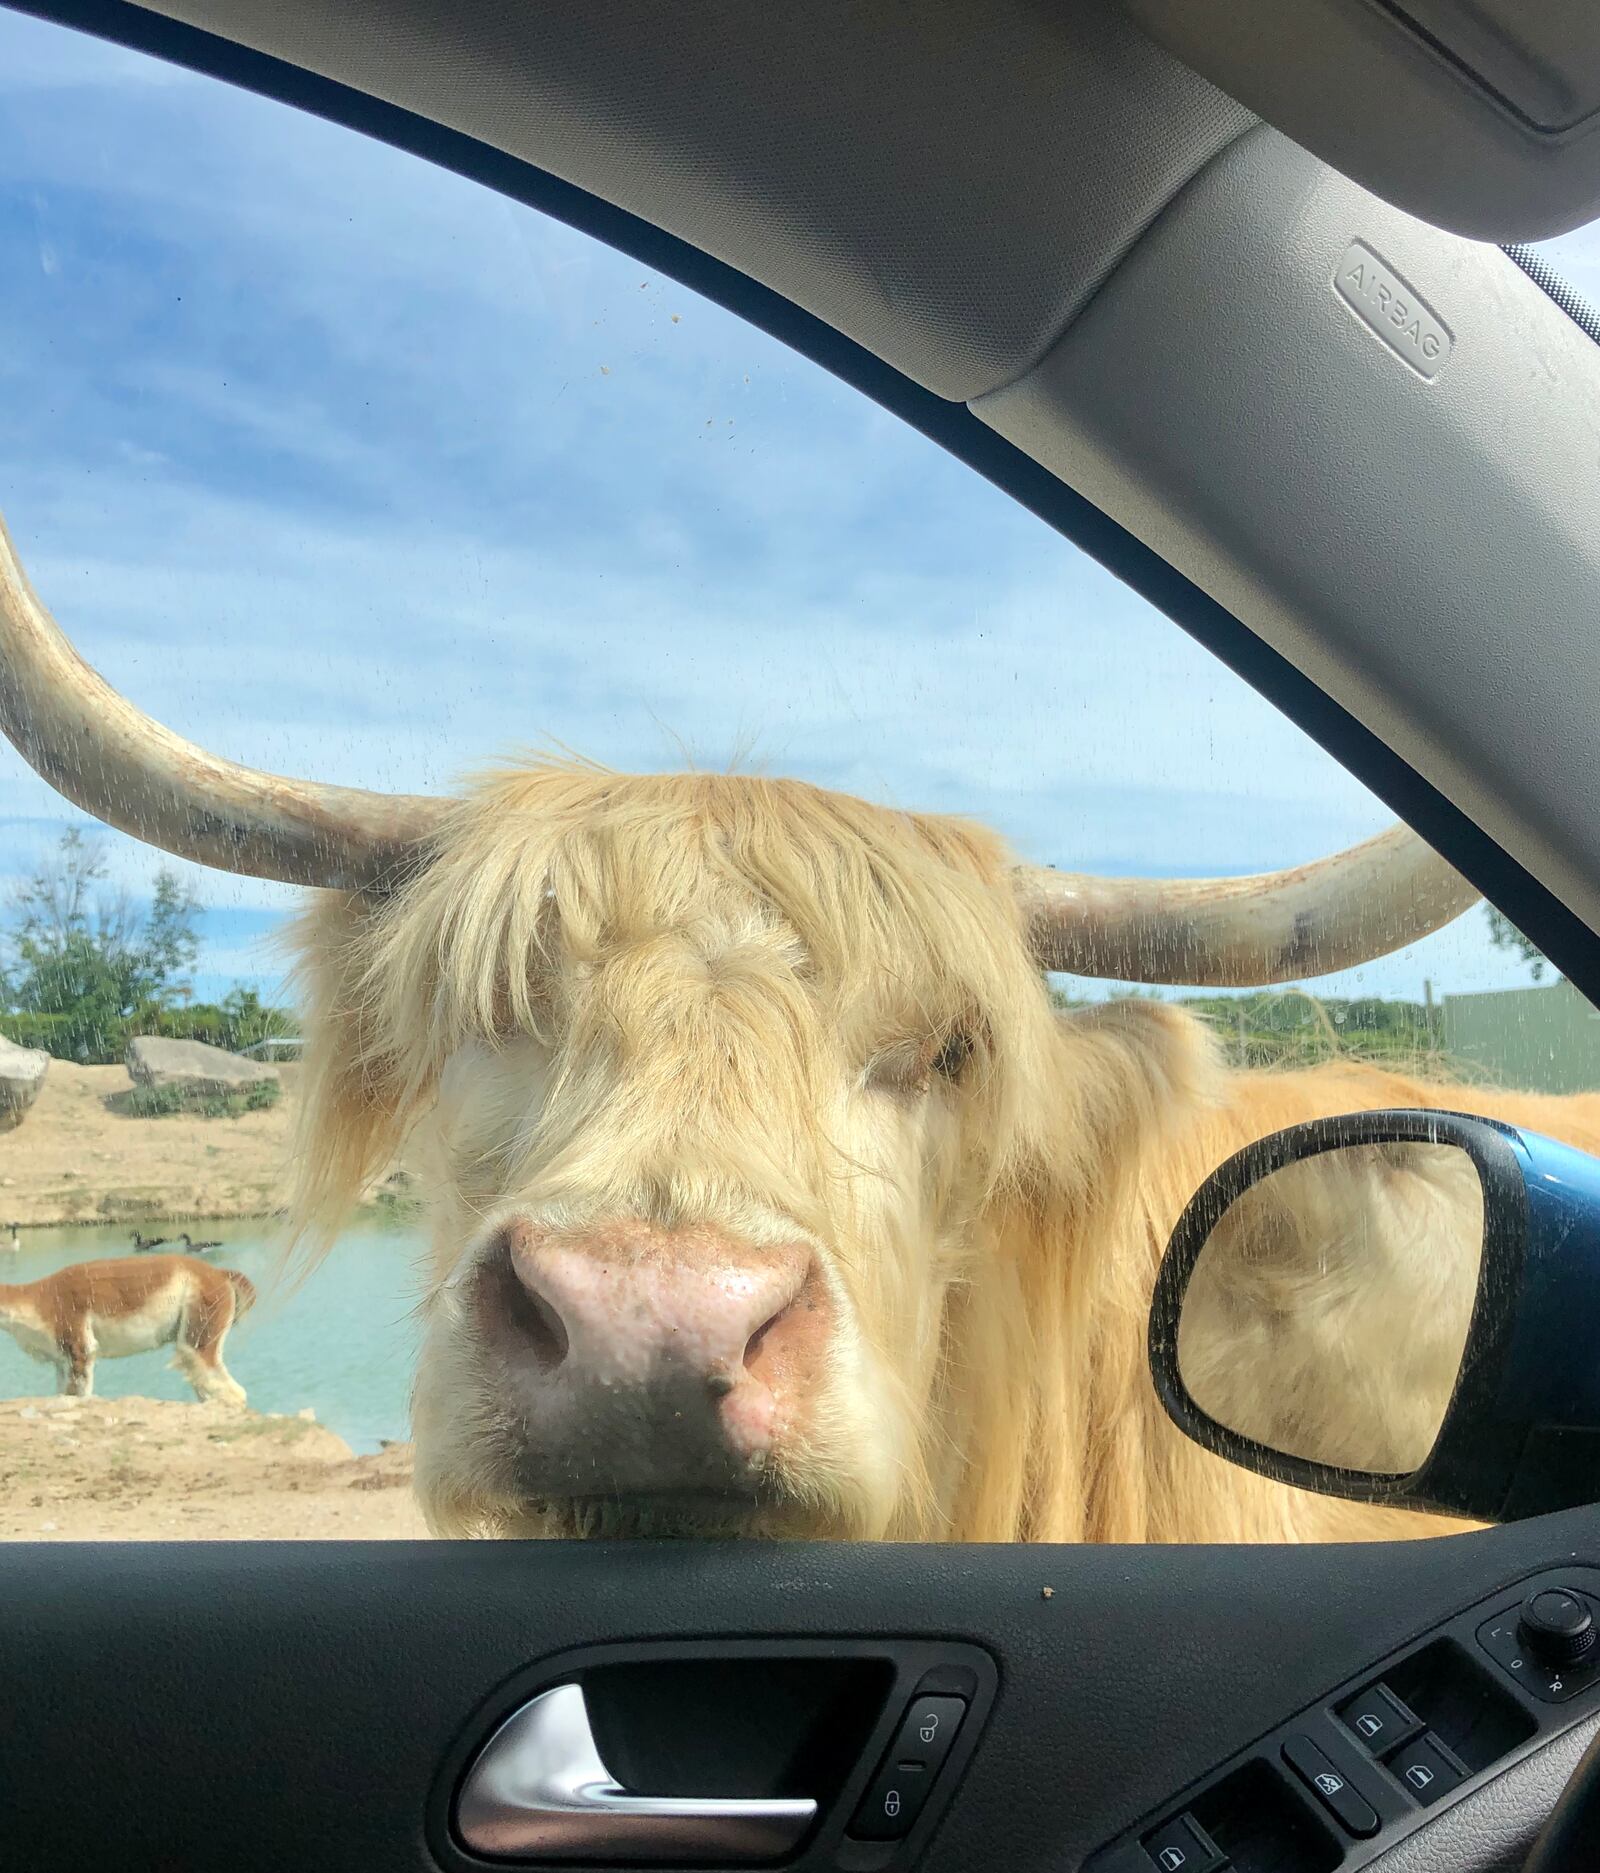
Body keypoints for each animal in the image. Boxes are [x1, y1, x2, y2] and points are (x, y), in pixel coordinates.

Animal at [0, 1258, 254, 1408]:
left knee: (232, 1389)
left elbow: (80, 1392)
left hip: (201, 1319)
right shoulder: (61, 1357)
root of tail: (220, 1273)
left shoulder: (78, 1340)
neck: (40, 1300)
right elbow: (64, 1392)